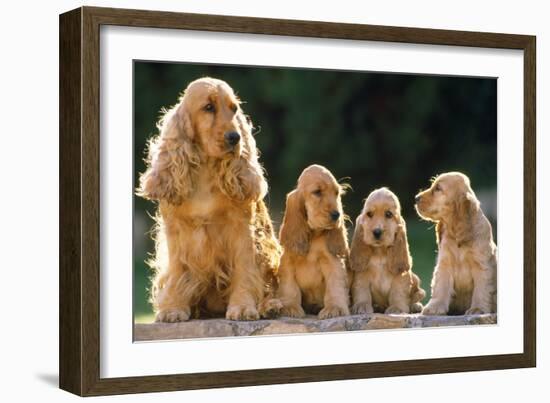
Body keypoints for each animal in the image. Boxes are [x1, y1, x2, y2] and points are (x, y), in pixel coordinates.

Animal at [137, 77, 282, 324]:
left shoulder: (242, 229)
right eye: (208, 107)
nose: (235, 138)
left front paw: (242, 307)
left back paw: (269, 306)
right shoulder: (175, 231)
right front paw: (173, 308)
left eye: (234, 109)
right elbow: (177, 271)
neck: (205, 170)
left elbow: (245, 269)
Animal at [278, 166, 352, 320]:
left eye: (336, 193)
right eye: (317, 192)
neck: (314, 234)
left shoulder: (332, 262)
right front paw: (290, 307)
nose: (337, 215)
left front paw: (334, 308)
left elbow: (334, 286)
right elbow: (289, 287)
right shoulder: (287, 261)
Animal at [416, 170, 498, 316]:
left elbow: (481, 289)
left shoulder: (482, 266)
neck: (455, 234)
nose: (415, 198)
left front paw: (478, 309)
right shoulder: (444, 264)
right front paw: (434, 307)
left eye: (438, 188)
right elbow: (440, 287)